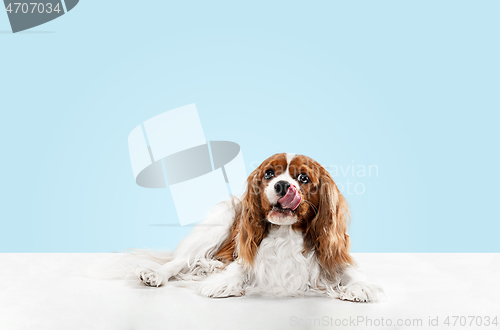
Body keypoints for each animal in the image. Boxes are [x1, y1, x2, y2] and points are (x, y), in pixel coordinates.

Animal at [135, 153, 384, 302]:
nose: (282, 185)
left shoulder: (331, 254)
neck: (286, 233)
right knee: (182, 260)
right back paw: (156, 274)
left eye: (303, 178)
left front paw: (361, 286)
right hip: (223, 216)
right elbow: (237, 268)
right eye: (269, 174)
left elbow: (349, 271)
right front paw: (223, 282)